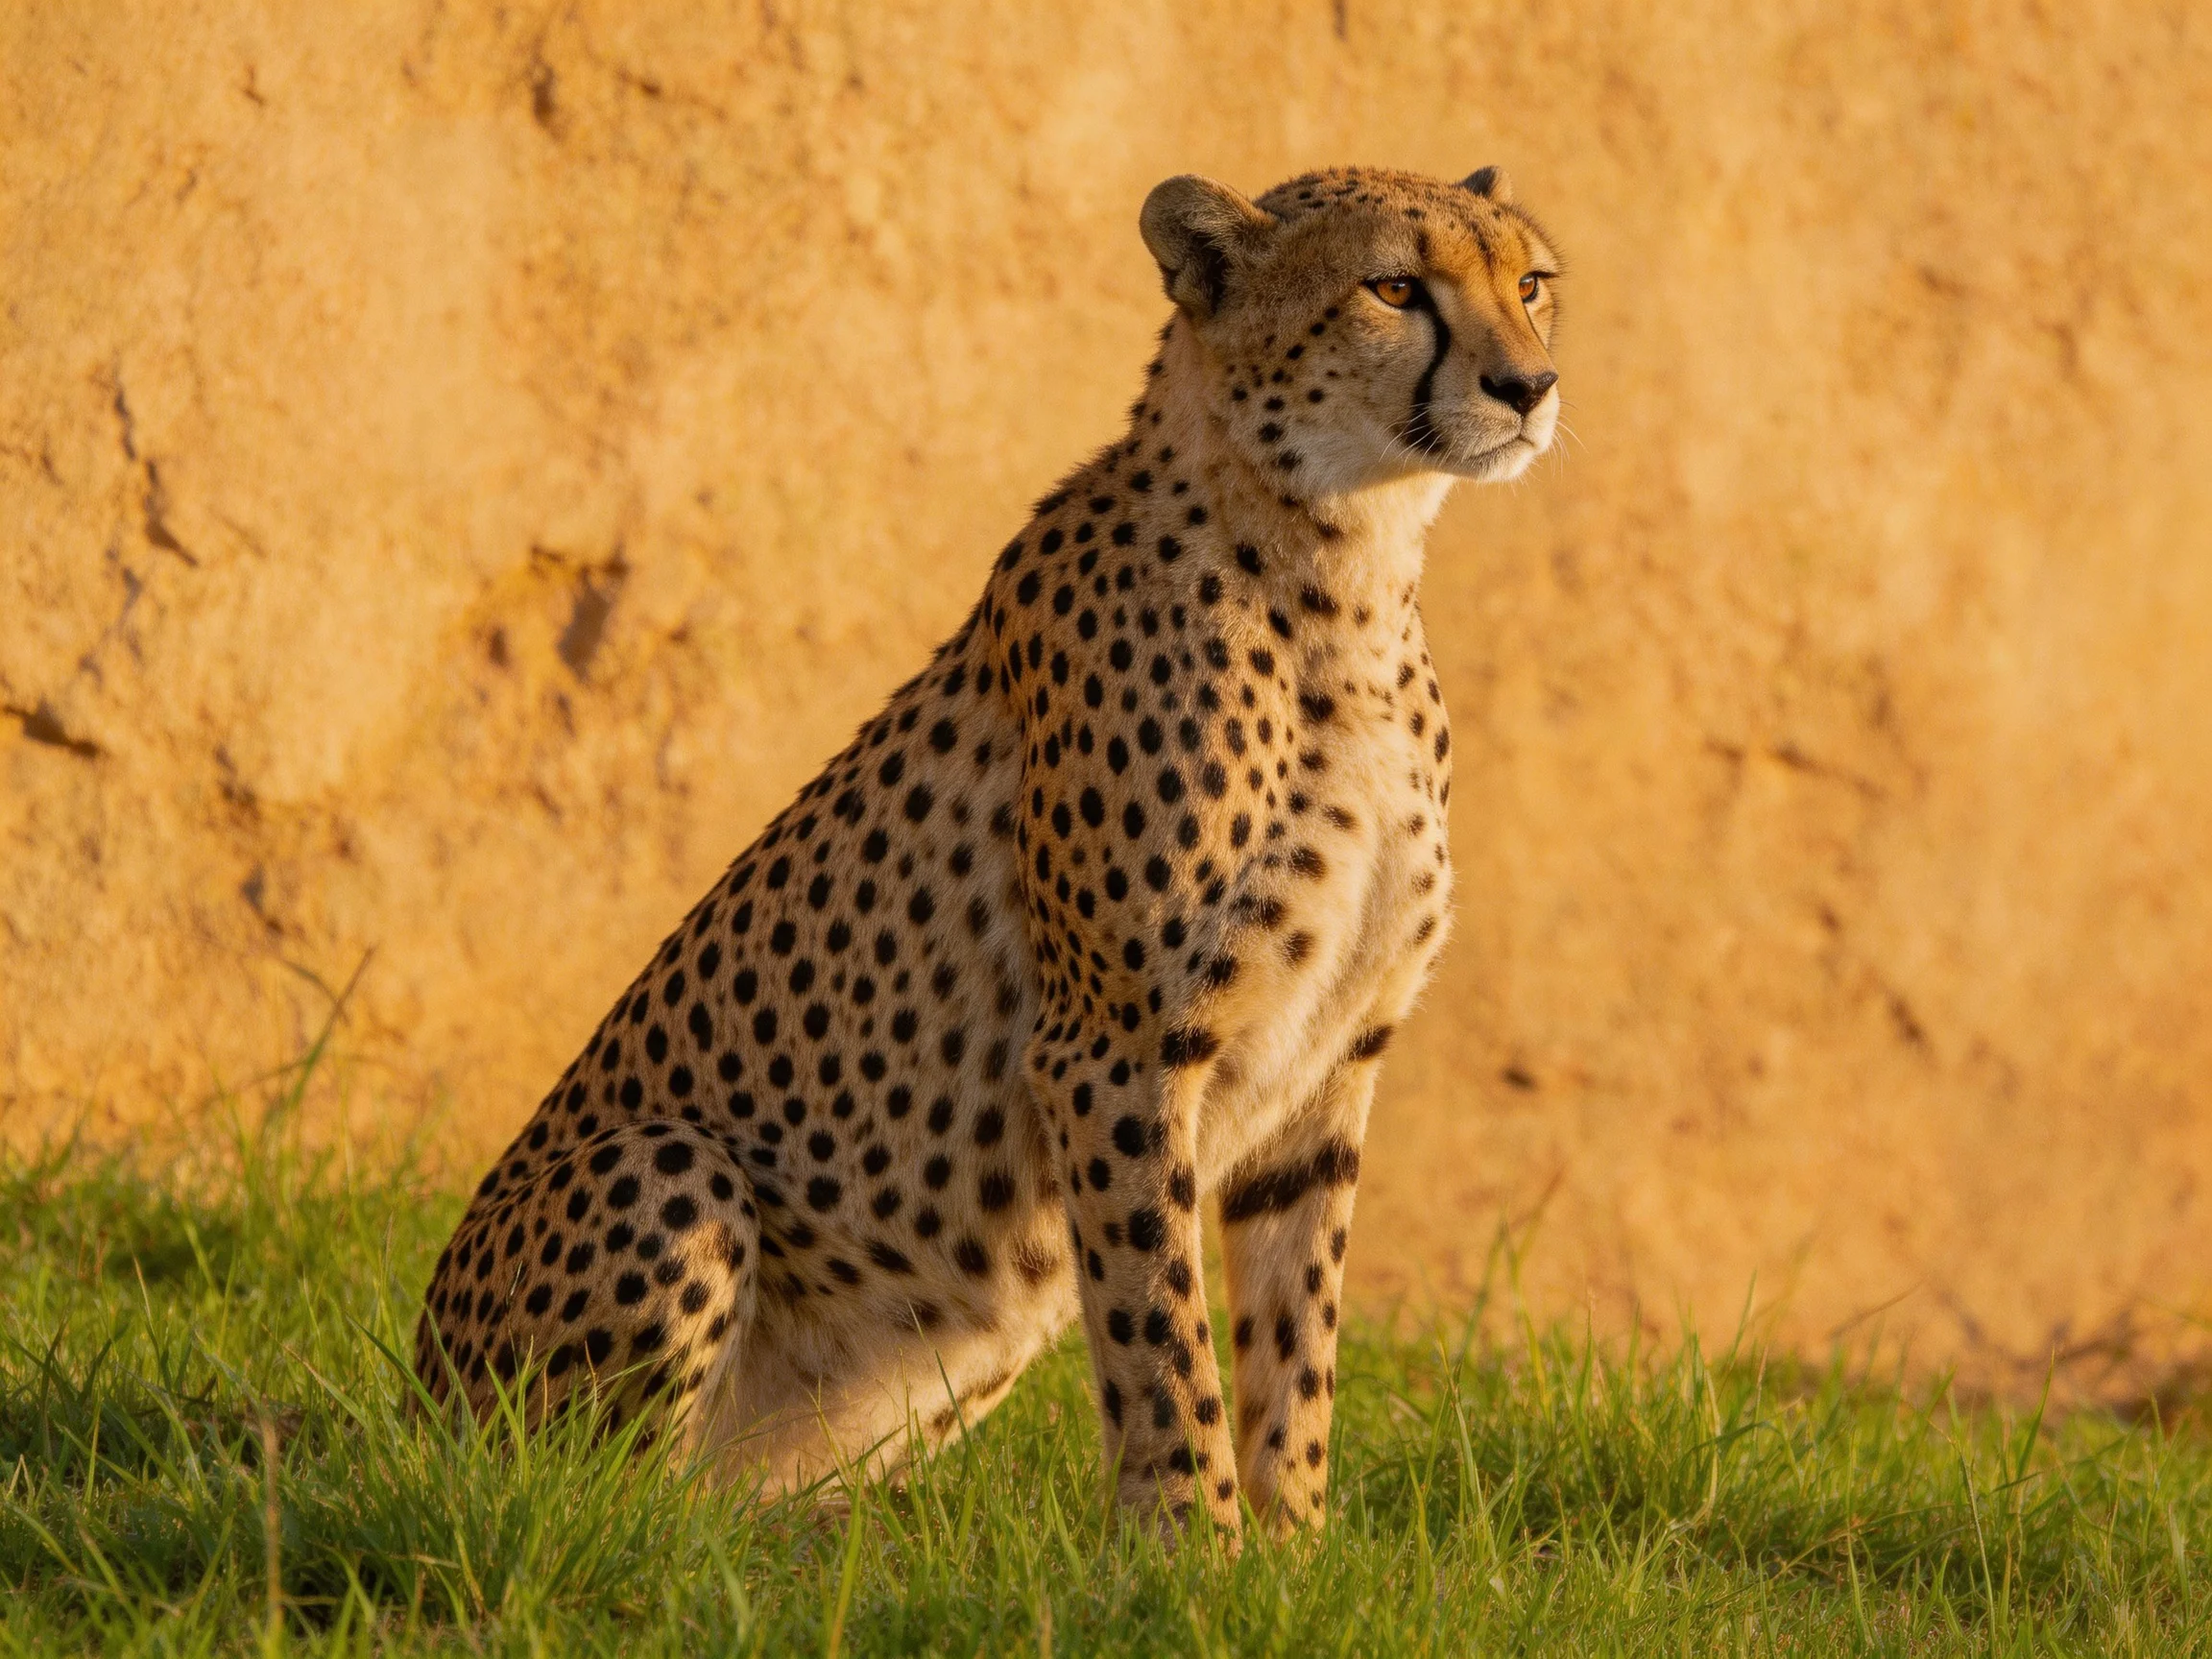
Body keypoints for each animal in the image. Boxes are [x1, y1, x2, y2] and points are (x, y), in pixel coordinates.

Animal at [414, 163, 1563, 1542]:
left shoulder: (1328, 1067)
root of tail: (408, 1397)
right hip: (662, 1171)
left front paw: (1293, 1550)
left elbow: (1296, 1340)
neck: (1346, 566)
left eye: (1530, 281)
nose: (1530, 385)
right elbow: (1162, 1331)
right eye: (1393, 286)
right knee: (587, 1508)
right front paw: (1193, 1547)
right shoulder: (1115, 1047)